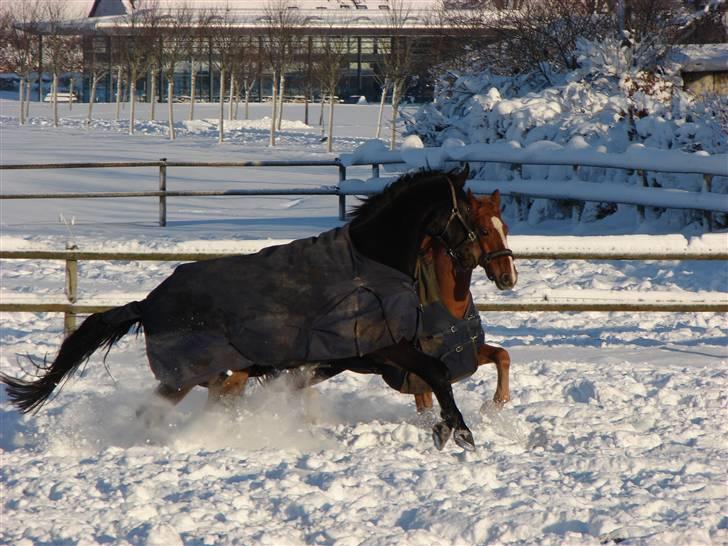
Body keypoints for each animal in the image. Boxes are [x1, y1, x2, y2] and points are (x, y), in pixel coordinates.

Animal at [0, 168, 516, 448]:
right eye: (477, 224)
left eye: (503, 224)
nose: (507, 275)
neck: (373, 262)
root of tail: (147, 303)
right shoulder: (382, 348)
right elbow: (436, 373)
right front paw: (458, 432)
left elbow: (443, 375)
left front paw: (453, 427)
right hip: (192, 376)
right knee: (154, 413)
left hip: (220, 378)